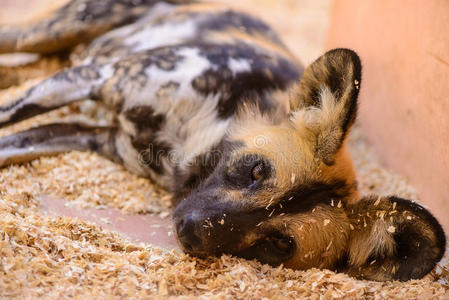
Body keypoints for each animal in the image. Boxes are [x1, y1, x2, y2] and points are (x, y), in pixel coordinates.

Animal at [0, 0, 442, 282]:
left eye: (279, 243)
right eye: (256, 169)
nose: (189, 230)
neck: (188, 137)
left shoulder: (94, 137)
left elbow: (13, 142)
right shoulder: (94, 78)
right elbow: (8, 119)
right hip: (53, 33)